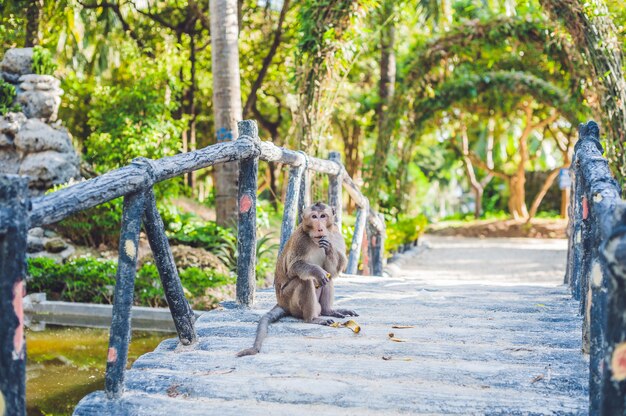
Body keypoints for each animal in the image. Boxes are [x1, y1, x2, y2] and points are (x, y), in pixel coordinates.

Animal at [235, 202, 356, 358]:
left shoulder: (335, 233)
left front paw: (329, 248)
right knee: (305, 281)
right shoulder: (300, 240)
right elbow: (294, 267)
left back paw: (328, 311)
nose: (319, 227)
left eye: (323, 216)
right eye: (314, 217)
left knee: (326, 279)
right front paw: (317, 271)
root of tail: (281, 303)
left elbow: (333, 271)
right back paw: (312, 318)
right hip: (289, 300)